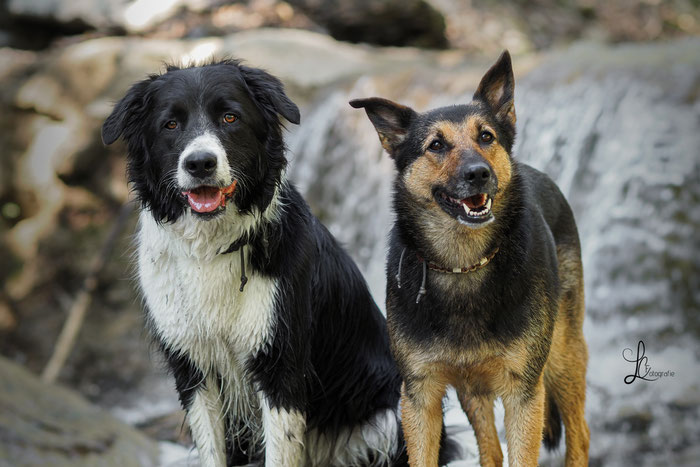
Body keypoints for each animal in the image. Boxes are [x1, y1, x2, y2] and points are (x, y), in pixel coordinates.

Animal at [102, 62, 432, 467]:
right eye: (170, 124)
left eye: (229, 117)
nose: (200, 164)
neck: (211, 245)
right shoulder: (193, 368)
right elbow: (211, 449)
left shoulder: (281, 364)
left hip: (386, 417)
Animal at [352, 52, 588, 467]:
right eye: (435, 145)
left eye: (486, 137)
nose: (478, 173)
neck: (463, 264)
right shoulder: (420, 395)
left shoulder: (523, 392)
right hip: (471, 387)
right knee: (490, 450)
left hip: (562, 355)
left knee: (580, 437)